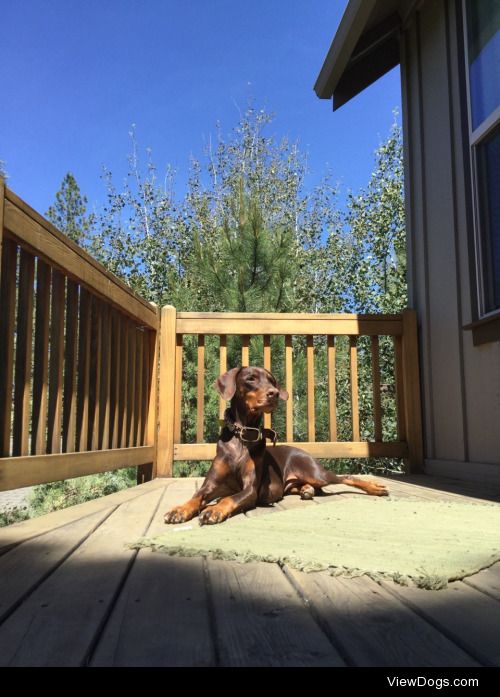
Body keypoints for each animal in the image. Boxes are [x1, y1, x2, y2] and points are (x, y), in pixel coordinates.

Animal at [164, 368, 386, 524]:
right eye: (251, 378)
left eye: (272, 381)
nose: (274, 393)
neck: (242, 436)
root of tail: (301, 451)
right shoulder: (210, 485)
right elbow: (196, 496)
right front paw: (179, 510)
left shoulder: (250, 489)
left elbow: (229, 498)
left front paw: (214, 509)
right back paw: (306, 490)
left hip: (316, 473)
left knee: (345, 477)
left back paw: (376, 488)